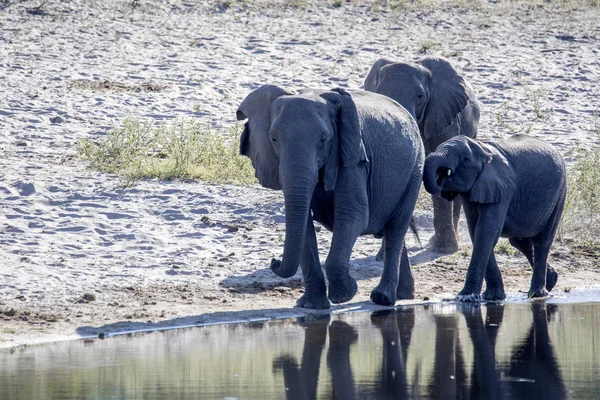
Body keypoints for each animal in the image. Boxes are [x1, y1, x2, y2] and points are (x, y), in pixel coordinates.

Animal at [237, 86, 424, 308]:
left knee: (396, 228)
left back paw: (383, 298)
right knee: (393, 231)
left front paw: (344, 295)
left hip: (415, 170)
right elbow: (305, 226)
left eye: (323, 140)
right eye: (273, 139)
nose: (275, 261)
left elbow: (353, 215)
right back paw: (403, 295)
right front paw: (311, 305)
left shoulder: (352, 159)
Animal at [422, 134, 568, 300]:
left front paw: (466, 297)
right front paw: (493, 297)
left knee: (542, 242)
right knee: (520, 242)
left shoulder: (502, 189)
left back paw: (538, 294)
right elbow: (477, 233)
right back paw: (551, 280)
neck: (484, 150)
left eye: (466, 159)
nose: (443, 175)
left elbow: (486, 233)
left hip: (559, 194)